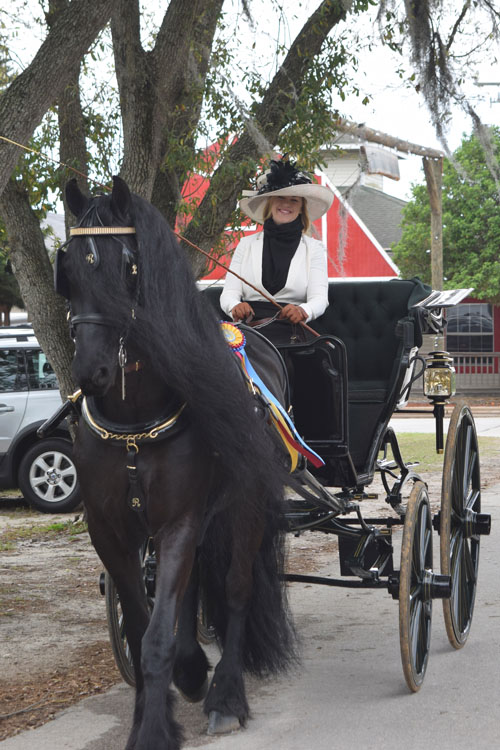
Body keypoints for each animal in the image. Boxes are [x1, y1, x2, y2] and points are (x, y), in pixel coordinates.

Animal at [60, 178, 298, 750]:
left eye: (130, 265)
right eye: (68, 268)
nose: (92, 371)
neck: (134, 423)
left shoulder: (178, 522)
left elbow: (155, 638)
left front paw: (153, 730)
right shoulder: (112, 529)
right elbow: (143, 625)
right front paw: (155, 708)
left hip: (244, 504)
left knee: (236, 590)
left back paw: (226, 695)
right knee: (191, 593)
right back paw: (193, 671)